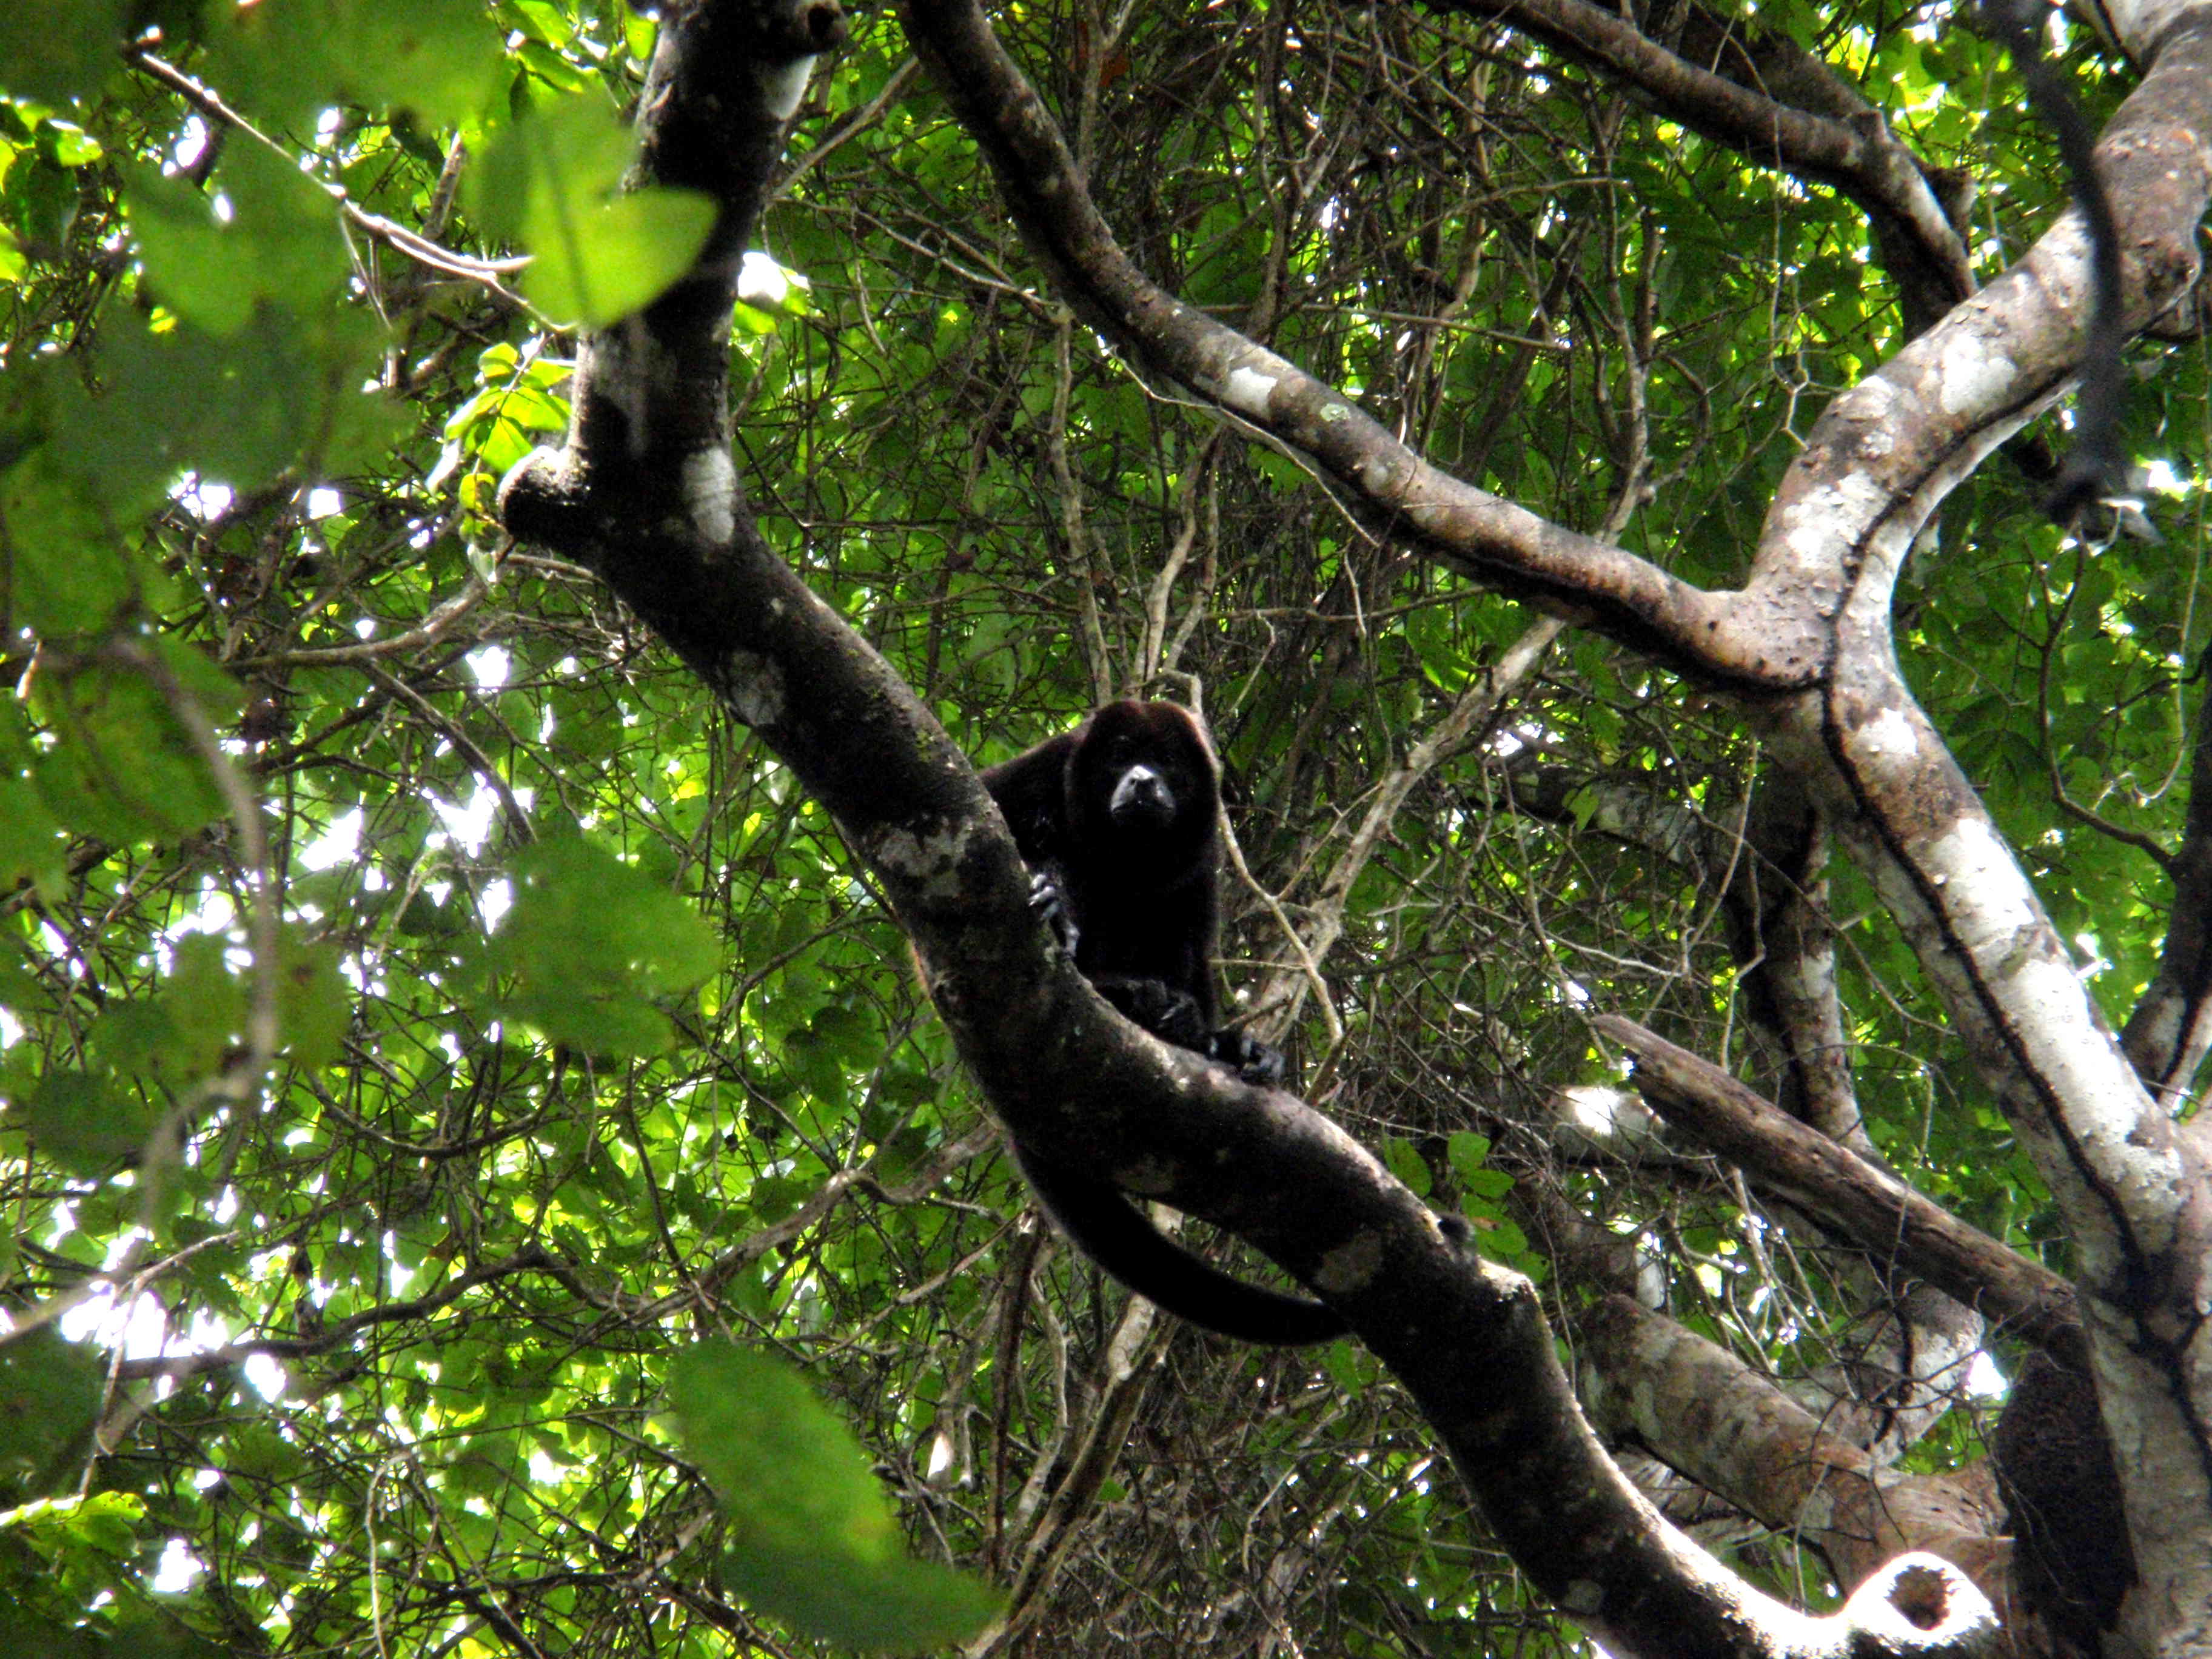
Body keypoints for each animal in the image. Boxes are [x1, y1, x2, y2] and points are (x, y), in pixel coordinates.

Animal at [980, 700, 1348, 1345]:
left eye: (1167, 761)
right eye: (1123, 756)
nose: (1143, 780)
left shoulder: (1204, 848)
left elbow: (1196, 934)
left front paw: (1223, 1038)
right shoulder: (1044, 768)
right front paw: (1051, 898)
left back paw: (1191, 1030)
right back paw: (1109, 978)